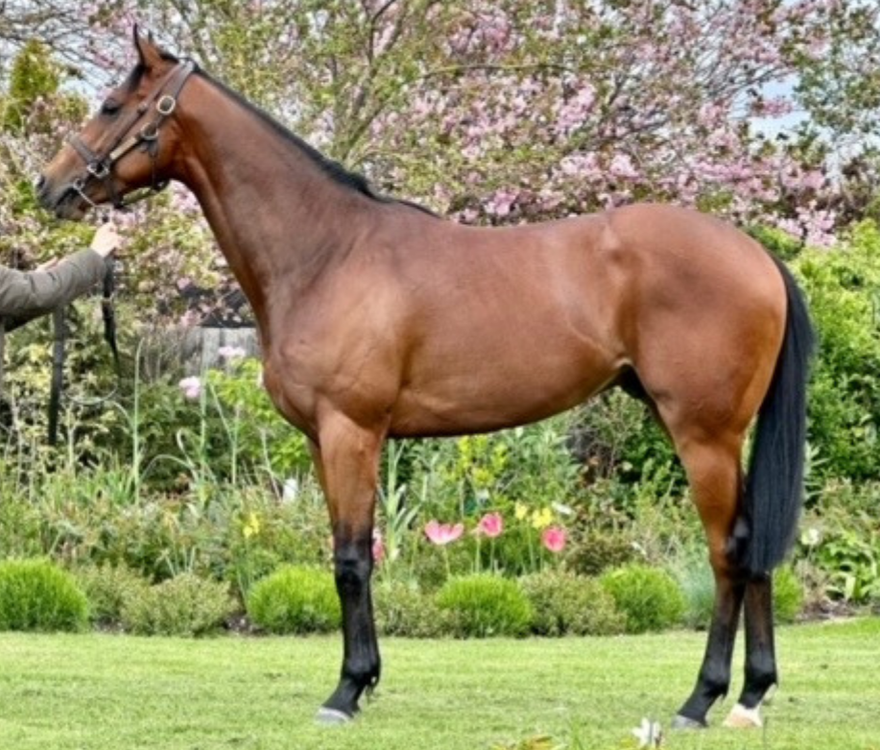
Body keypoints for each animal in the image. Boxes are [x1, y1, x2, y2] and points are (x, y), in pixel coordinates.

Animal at [37, 29, 814, 729]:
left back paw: (701, 701)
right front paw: (365, 680)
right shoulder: (324, 441)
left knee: (729, 551)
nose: (48, 186)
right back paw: (751, 697)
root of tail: (757, 255)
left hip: (703, 433)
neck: (328, 252)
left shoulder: (351, 431)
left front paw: (346, 691)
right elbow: (353, 552)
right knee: (753, 545)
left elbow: (351, 560)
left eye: (111, 105)